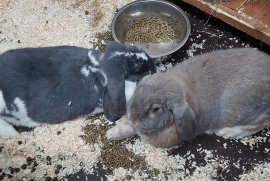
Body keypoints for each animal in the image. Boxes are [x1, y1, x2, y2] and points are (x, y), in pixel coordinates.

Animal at [106, 47, 270, 147]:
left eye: (156, 109)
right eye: (140, 91)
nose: (134, 118)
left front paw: (111, 133)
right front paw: (112, 132)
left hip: (238, 112)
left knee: (259, 124)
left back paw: (228, 133)